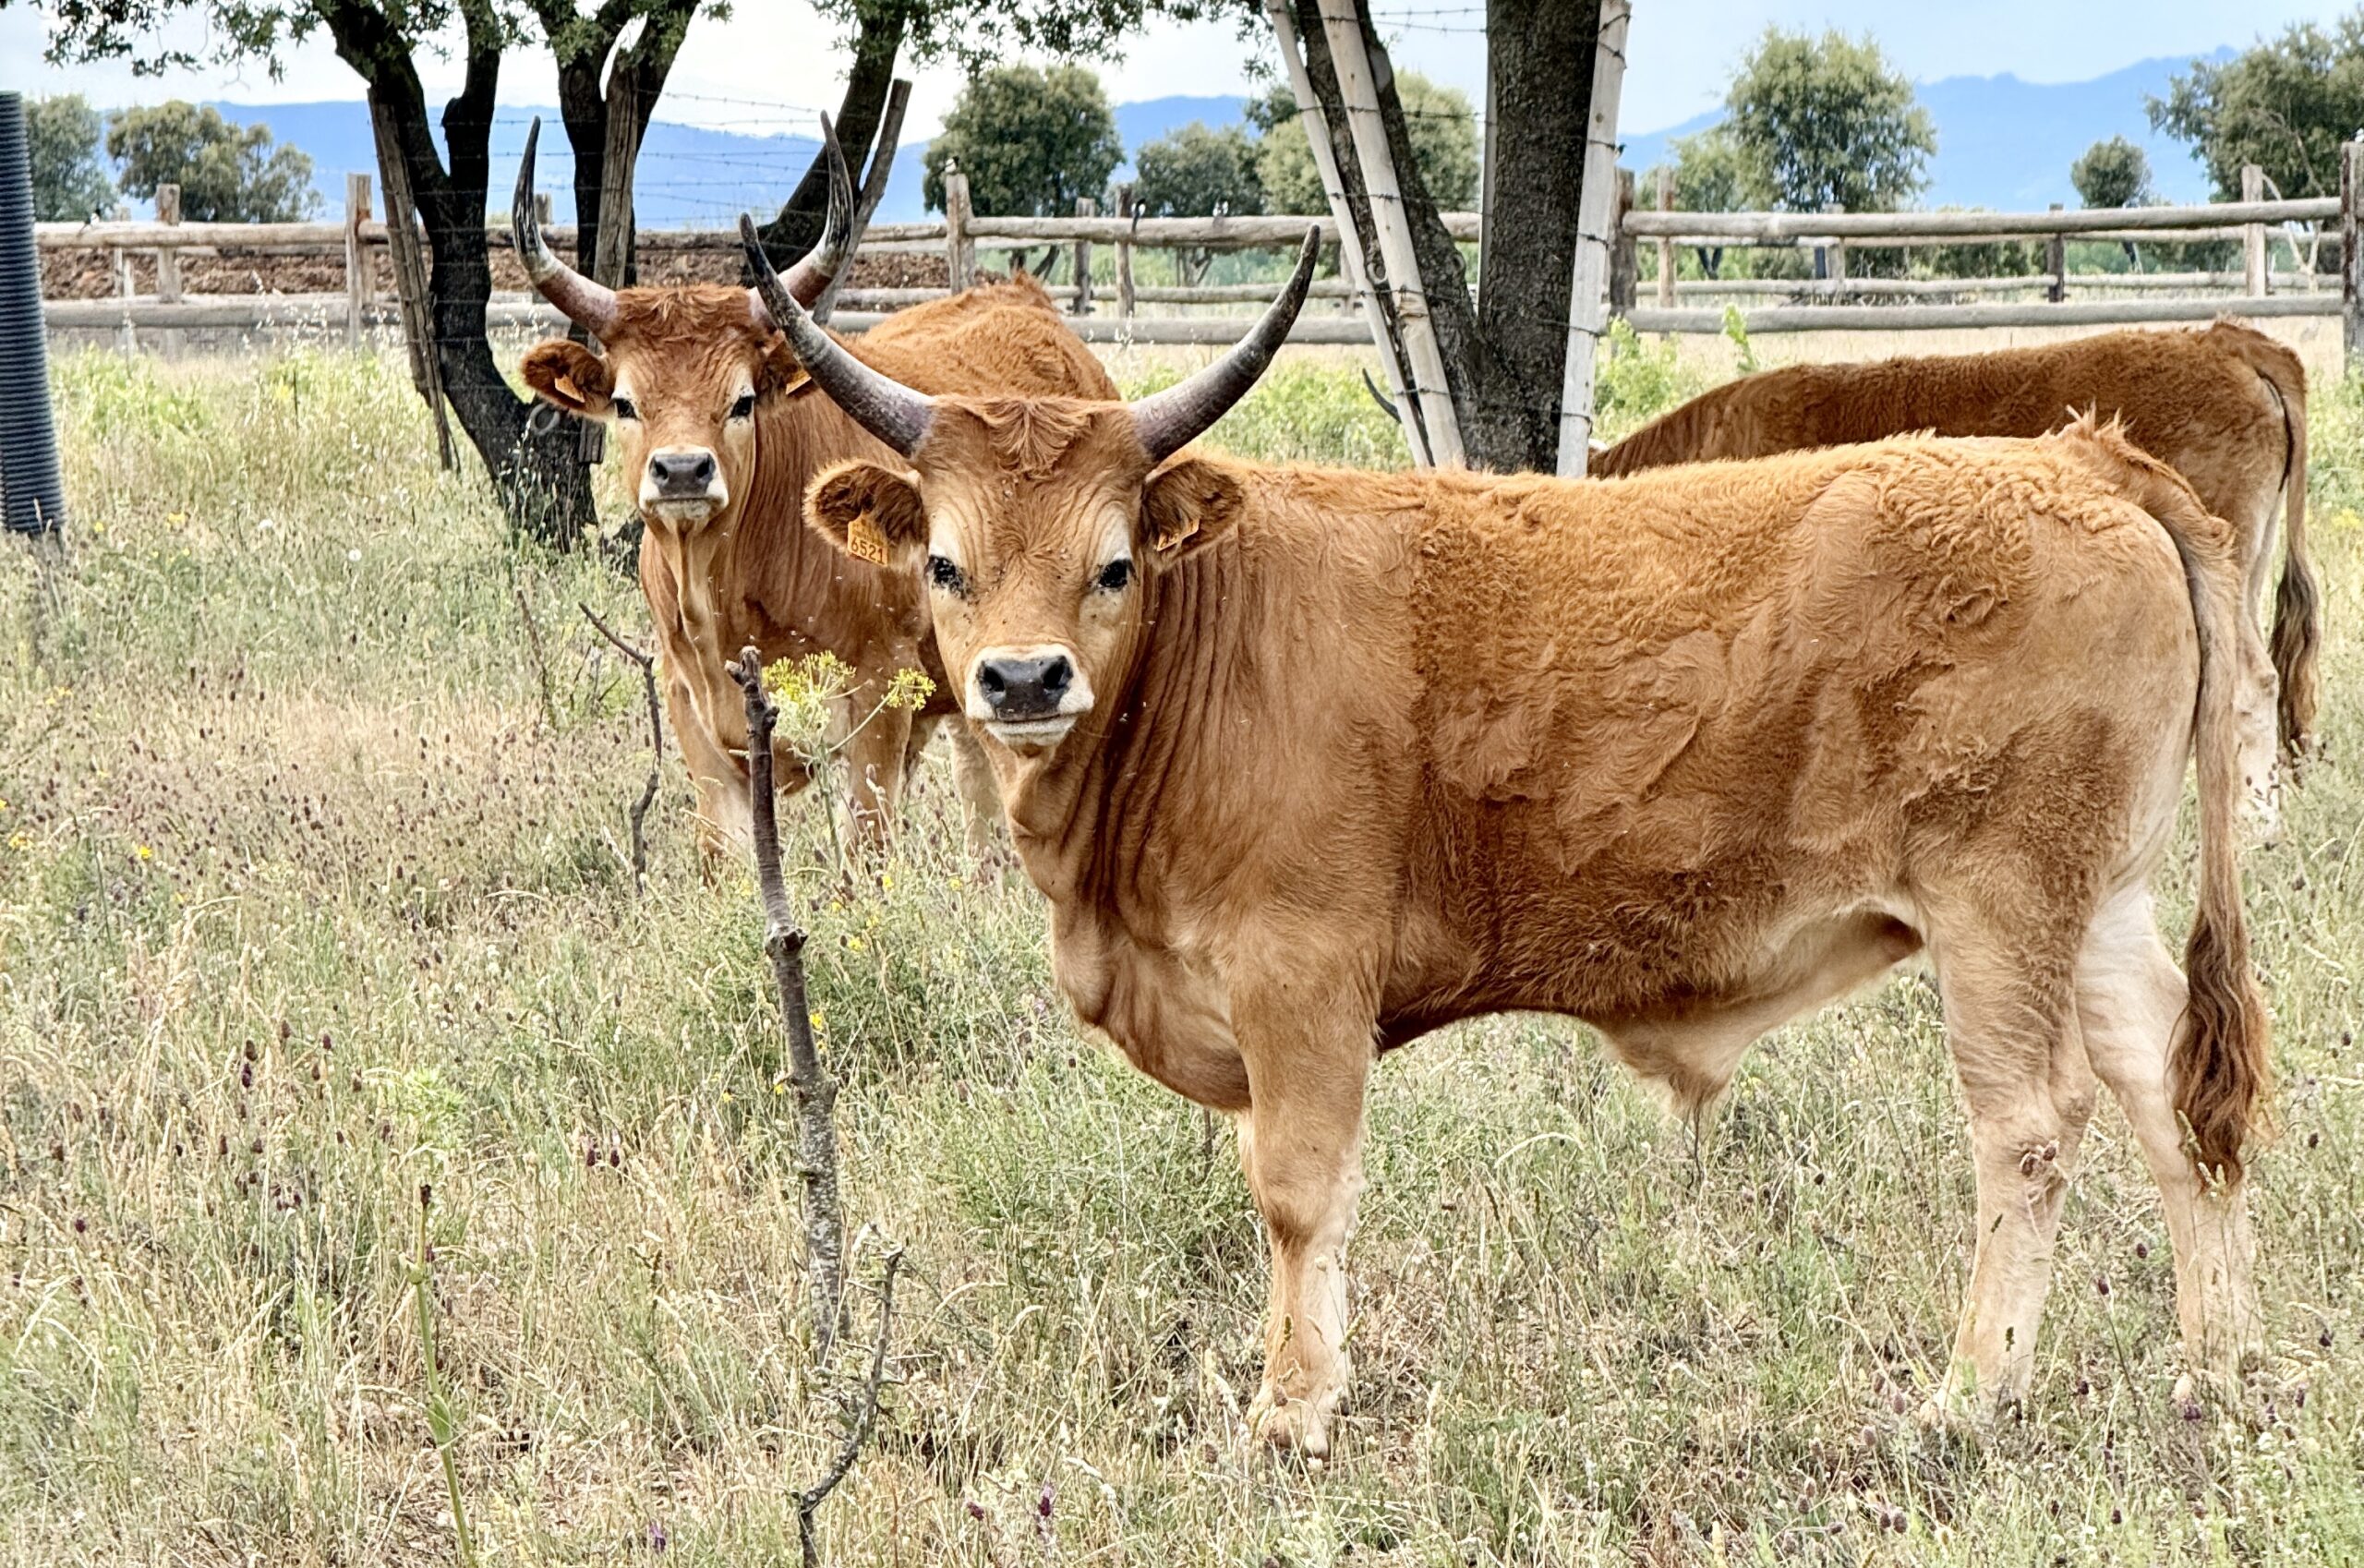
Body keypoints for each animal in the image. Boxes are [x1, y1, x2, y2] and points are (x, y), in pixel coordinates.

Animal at [508, 123, 1116, 861]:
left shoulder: (878, 707)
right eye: (625, 403)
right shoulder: (697, 728)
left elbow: (864, 854)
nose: (681, 471)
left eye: (741, 400)